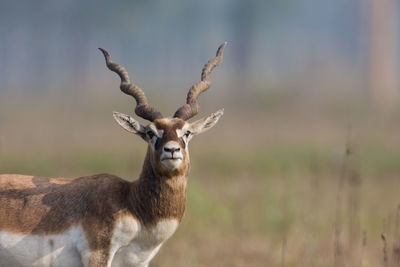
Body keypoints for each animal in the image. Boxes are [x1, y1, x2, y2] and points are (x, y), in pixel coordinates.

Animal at [0, 43, 225, 266]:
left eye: (187, 132)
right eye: (150, 133)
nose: (171, 150)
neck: (131, 204)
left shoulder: (139, 261)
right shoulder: (97, 254)